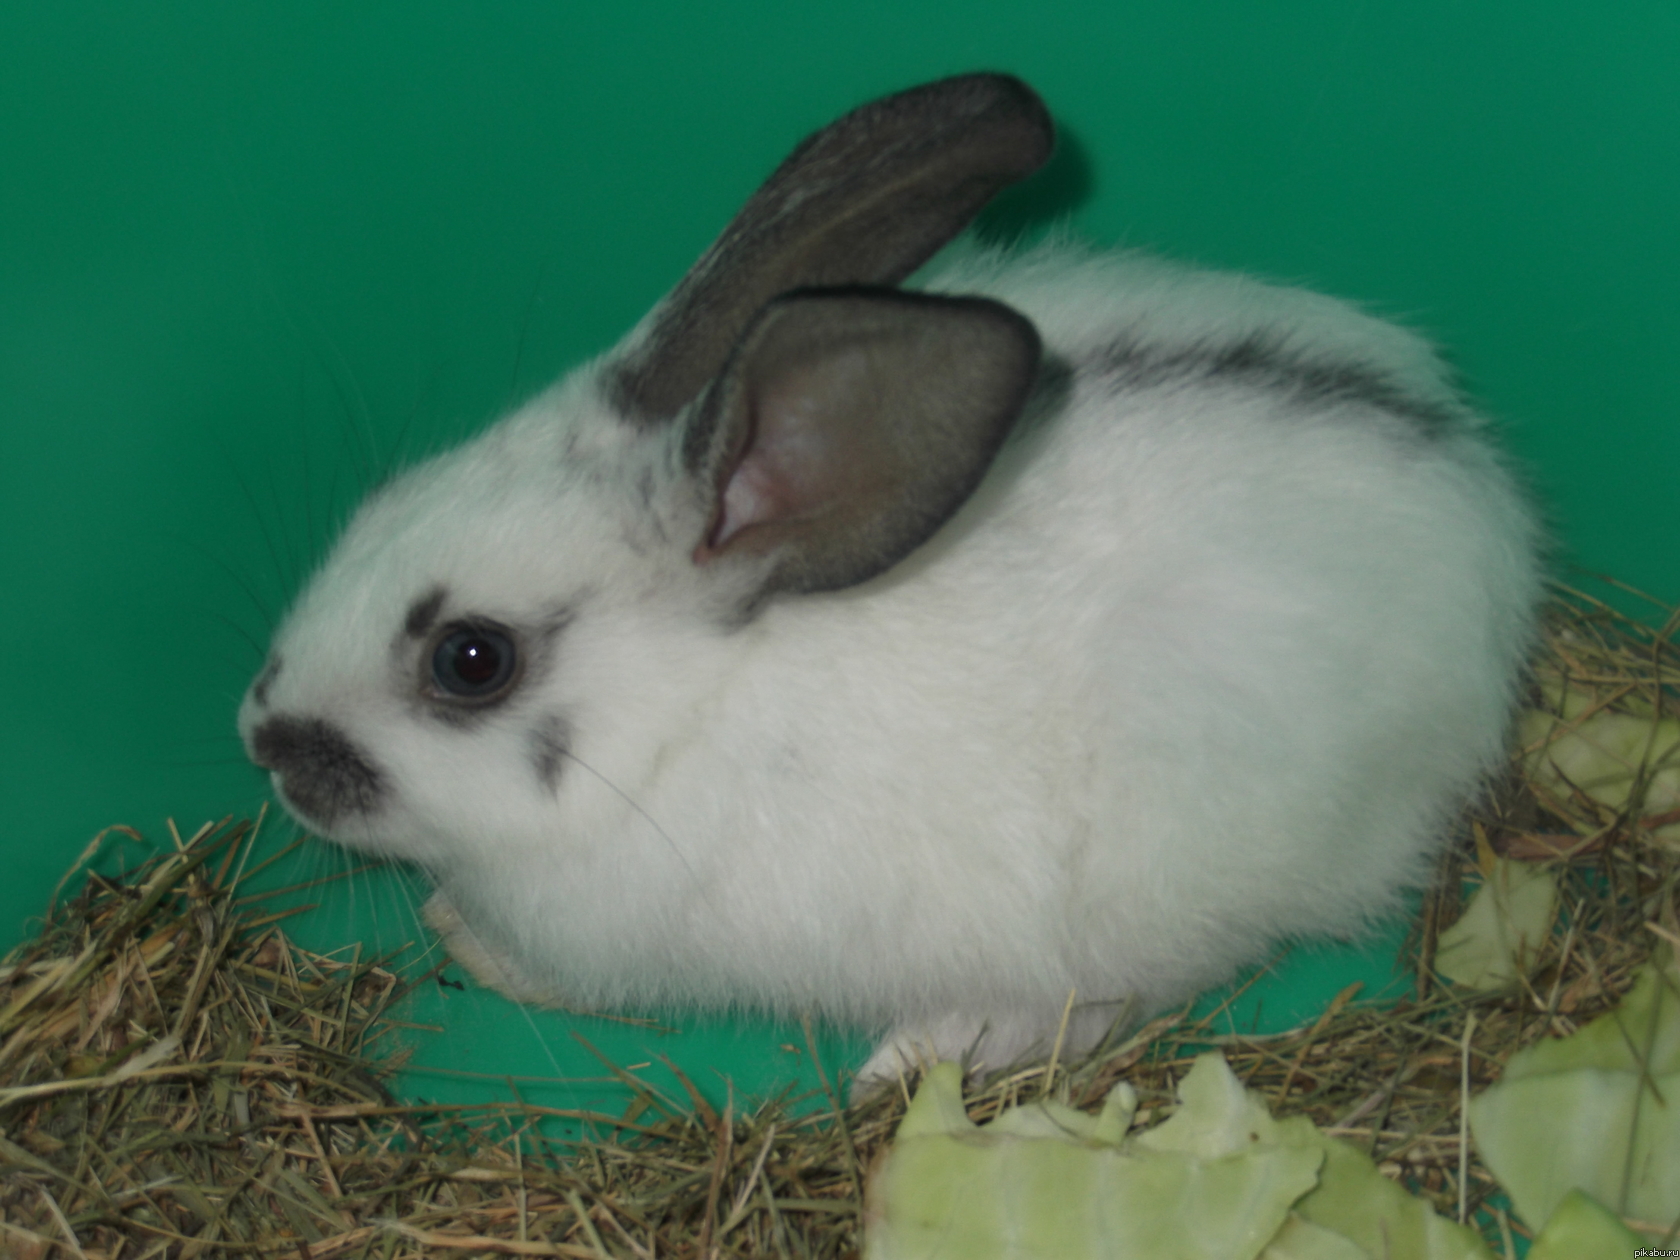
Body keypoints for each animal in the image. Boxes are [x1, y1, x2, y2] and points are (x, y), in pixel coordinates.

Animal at [239, 73, 1542, 1086]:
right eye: (379, 504)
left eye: (472, 660)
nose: (259, 736)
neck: (678, 720)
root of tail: (1486, 523)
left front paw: (462, 938)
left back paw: (928, 1052)